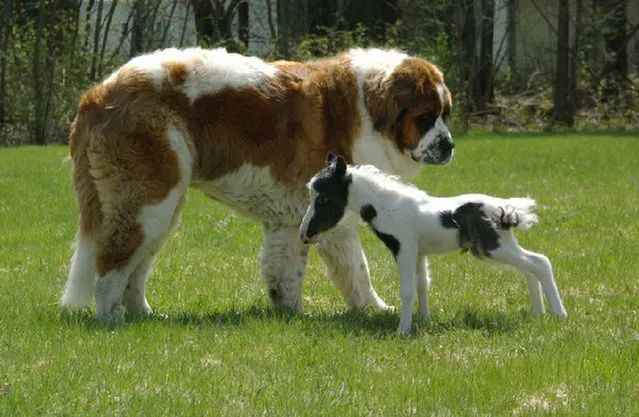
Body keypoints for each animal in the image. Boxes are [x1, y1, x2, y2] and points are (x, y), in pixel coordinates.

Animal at [61, 46, 456, 322]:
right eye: (426, 117)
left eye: (445, 115)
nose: (450, 145)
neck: (365, 108)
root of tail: (99, 93)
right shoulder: (334, 215)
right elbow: (356, 269)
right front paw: (374, 309)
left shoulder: (291, 218)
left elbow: (287, 270)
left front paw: (291, 314)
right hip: (148, 202)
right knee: (110, 265)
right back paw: (112, 321)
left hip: (163, 209)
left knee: (136, 267)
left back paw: (145, 316)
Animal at [298, 154, 568, 334]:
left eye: (323, 199)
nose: (305, 234)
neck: (387, 206)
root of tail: (506, 209)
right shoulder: (419, 252)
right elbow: (423, 284)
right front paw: (422, 319)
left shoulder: (404, 248)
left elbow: (408, 289)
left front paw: (403, 330)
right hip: (495, 249)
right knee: (529, 269)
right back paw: (537, 313)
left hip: (494, 248)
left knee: (540, 262)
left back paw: (559, 314)